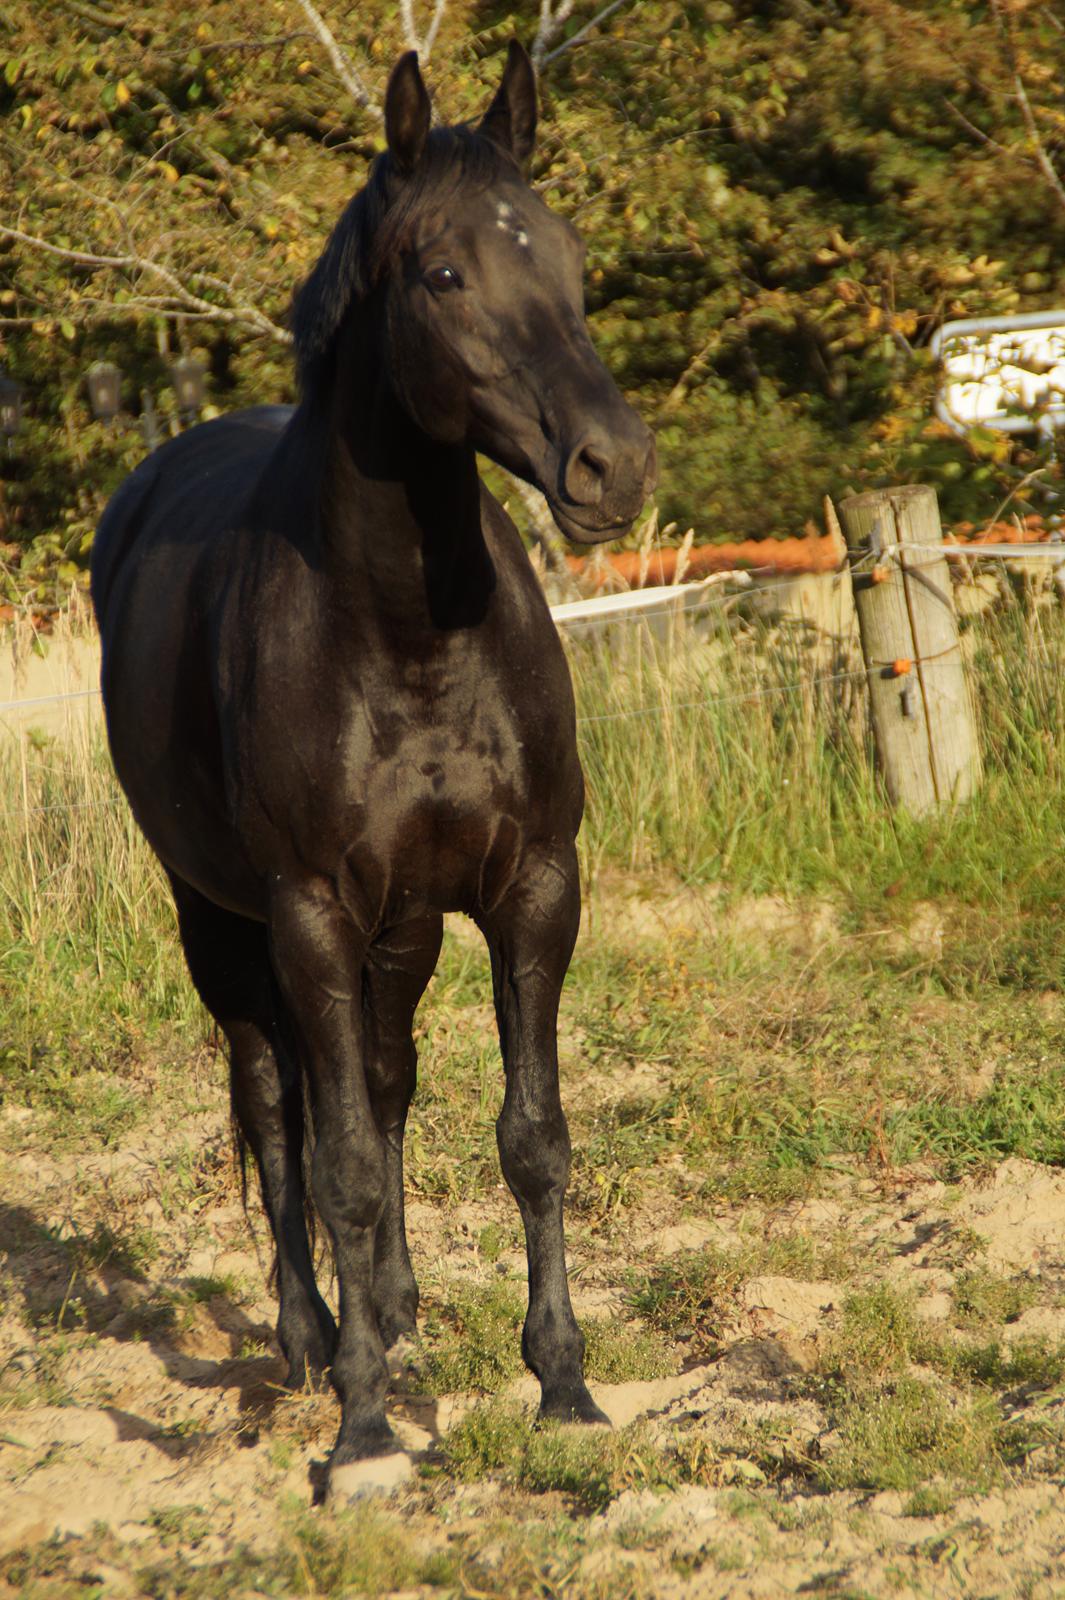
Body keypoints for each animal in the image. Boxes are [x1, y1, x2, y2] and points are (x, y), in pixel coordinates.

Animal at [91, 40, 652, 1484]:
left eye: (567, 256)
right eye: (445, 274)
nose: (612, 467)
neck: (407, 633)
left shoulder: (533, 889)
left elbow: (529, 1136)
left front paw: (562, 1384)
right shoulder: (306, 915)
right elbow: (333, 1155)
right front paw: (360, 1431)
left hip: (401, 929)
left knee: (386, 1082)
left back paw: (392, 1317)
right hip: (221, 921)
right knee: (272, 1102)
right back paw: (312, 1341)